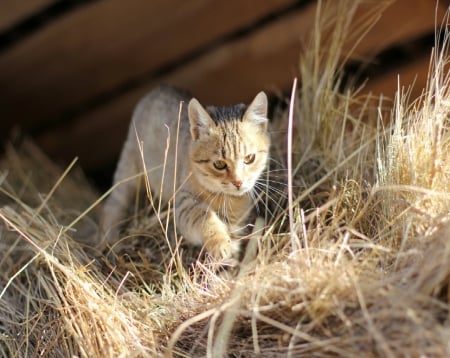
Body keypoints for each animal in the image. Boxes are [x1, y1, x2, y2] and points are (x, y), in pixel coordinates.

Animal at [101, 85, 270, 262]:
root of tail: (159, 87)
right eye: (219, 164)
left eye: (249, 158)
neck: (228, 198)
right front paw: (220, 243)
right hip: (129, 173)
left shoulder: (237, 221)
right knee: (113, 205)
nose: (238, 182)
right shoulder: (184, 202)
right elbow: (203, 216)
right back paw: (110, 243)